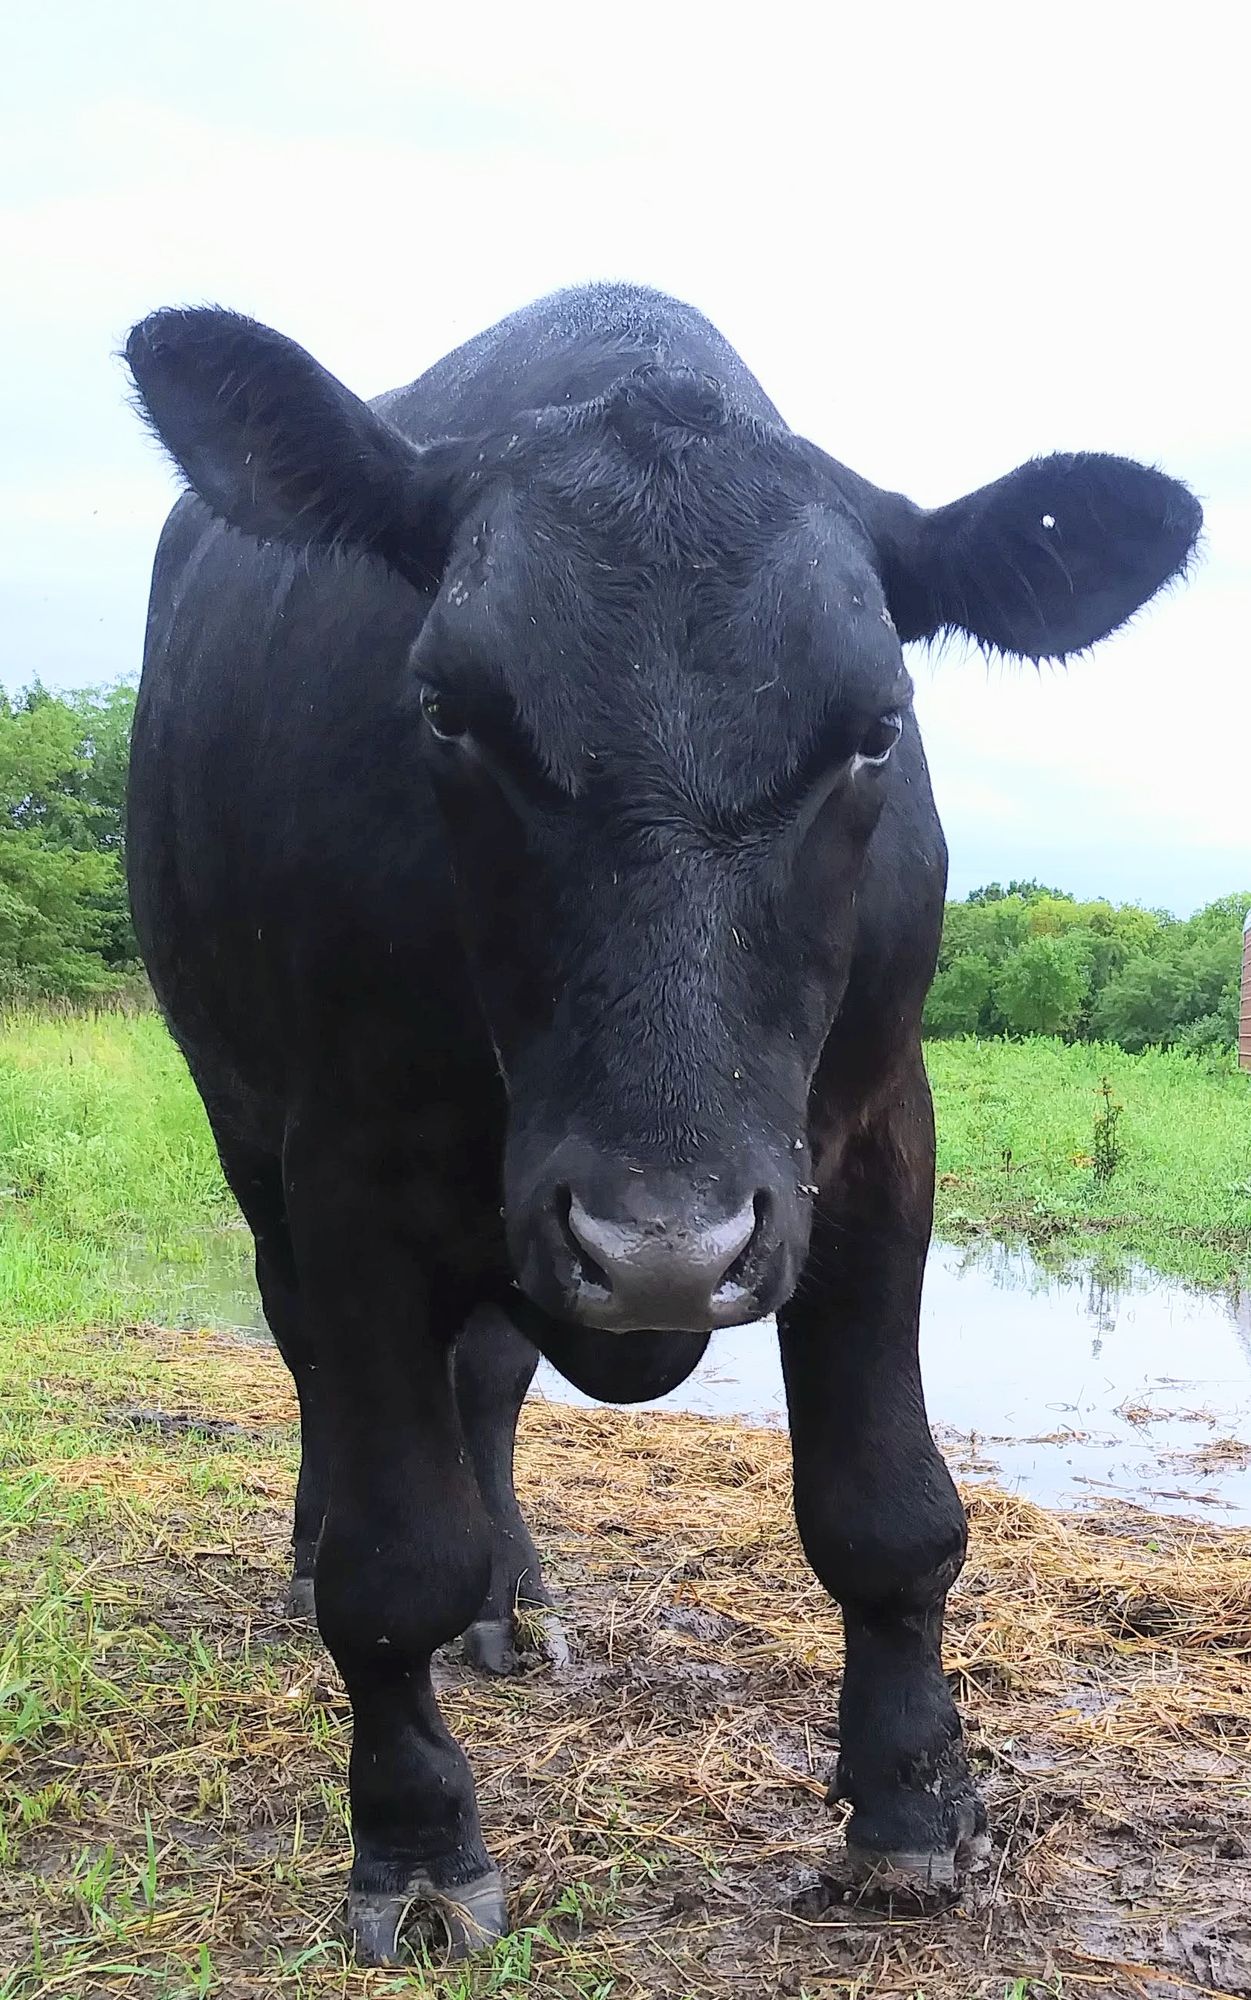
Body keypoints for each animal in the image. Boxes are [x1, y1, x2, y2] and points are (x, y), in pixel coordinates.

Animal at [124, 283, 1200, 1962]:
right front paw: (415, 1845)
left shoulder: (873, 1142)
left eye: (874, 724)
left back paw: (516, 1601)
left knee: (487, 1381)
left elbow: (886, 1509)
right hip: (256, 1141)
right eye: (447, 709)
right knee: (328, 1385)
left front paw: (910, 1806)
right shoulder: (343, 1160)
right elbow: (391, 1556)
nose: (661, 1250)